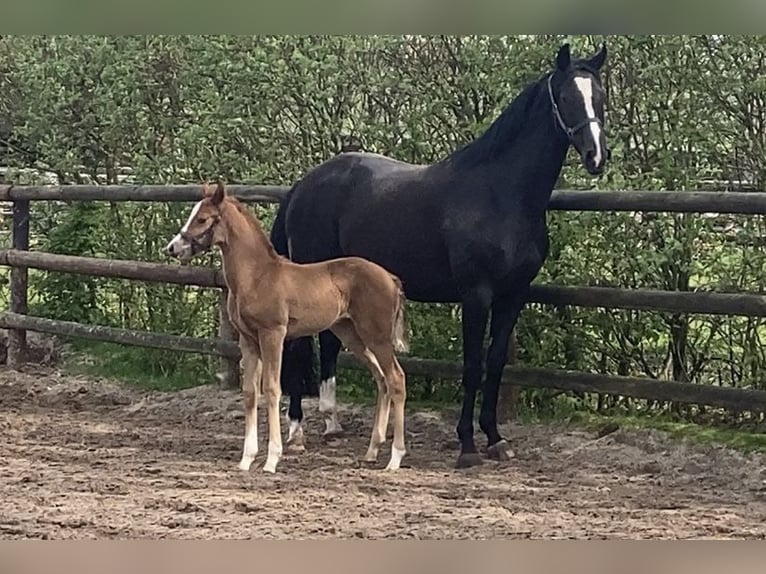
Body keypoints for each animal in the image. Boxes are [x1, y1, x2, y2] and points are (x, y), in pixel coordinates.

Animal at [166, 182, 412, 474]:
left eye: (202, 219)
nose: (173, 247)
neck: (257, 276)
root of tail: (391, 278)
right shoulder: (248, 341)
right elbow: (250, 393)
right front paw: (246, 459)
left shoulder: (273, 334)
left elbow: (273, 389)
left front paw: (272, 459)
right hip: (352, 334)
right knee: (381, 379)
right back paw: (372, 451)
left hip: (377, 336)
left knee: (396, 379)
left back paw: (395, 458)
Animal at [272, 42, 608, 470]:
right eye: (566, 97)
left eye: (600, 96)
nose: (597, 156)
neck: (500, 195)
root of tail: (302, 185)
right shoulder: (476, 294)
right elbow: (472, 366)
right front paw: (467, 445)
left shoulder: (513, 295)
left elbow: (495, 364)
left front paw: (495, 438)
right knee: (300, 346)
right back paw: (297, 432)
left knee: (328, 344)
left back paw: (332, 425)